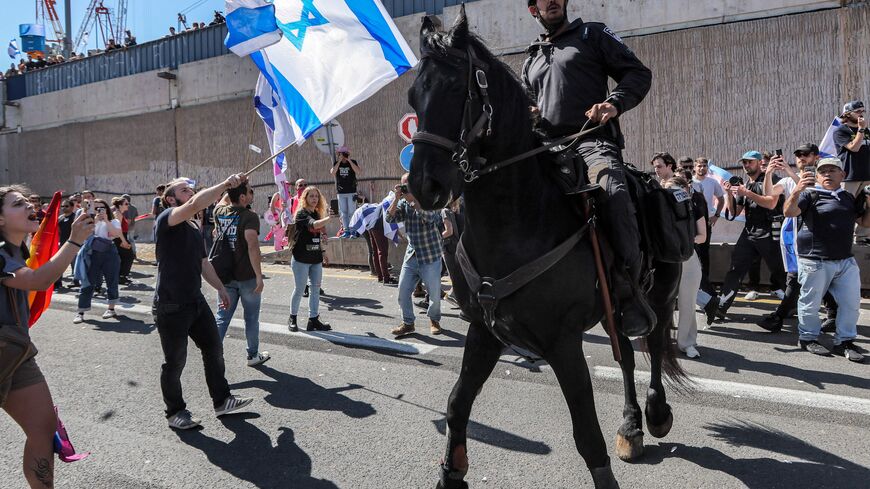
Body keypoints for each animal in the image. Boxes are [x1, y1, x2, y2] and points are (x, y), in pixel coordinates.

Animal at [408, 8, 688, 488]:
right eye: (413, 96)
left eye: (456, 89)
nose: (423, 186)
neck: (518, 222)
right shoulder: (485, 332)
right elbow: (457, 404)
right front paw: (451, 472)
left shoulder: (562, 343)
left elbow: (587, 435)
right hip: (614, 310)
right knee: (628, 357)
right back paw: (631, 425)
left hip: (662, 293)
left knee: (653, 344)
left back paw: (655, 413)